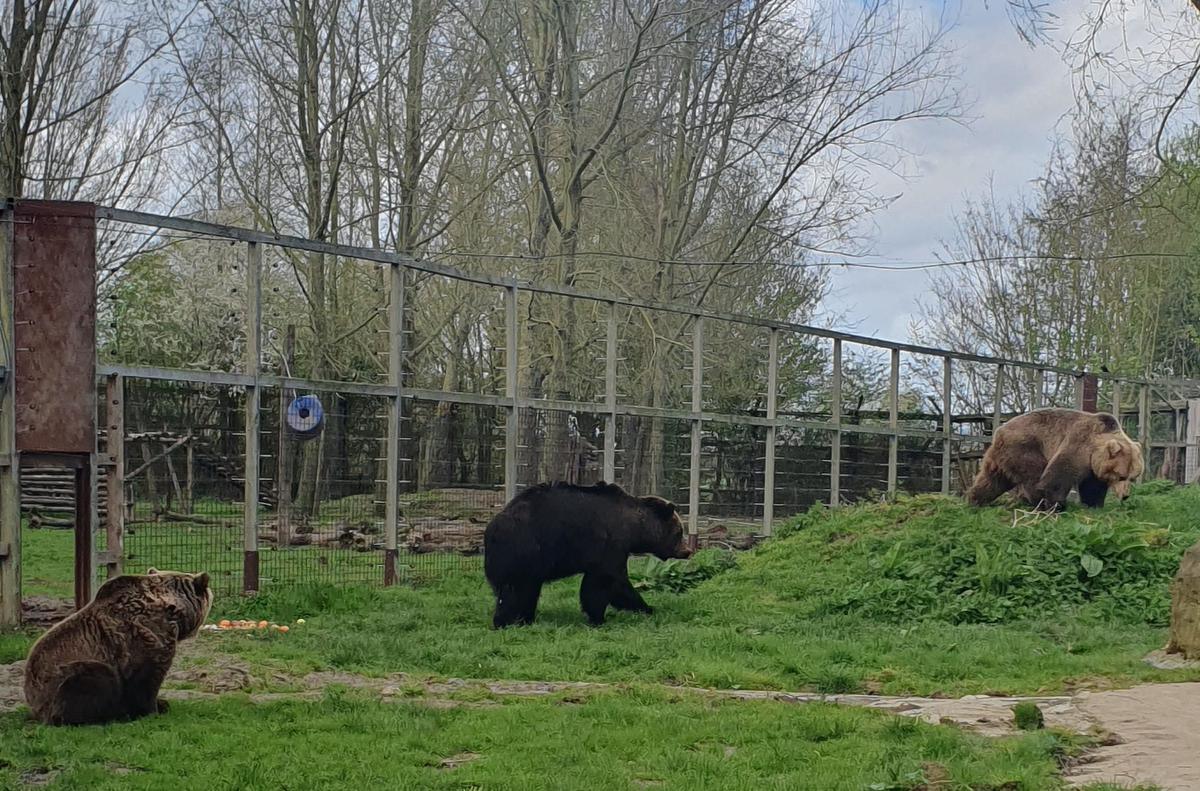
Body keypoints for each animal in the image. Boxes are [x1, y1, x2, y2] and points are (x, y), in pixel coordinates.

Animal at [25, 566, 213, 724]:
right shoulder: (147, 638)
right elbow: (147, 679)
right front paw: (152, 711)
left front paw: (160, 704)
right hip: (58, 680)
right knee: (94, 678)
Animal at [482, 480, 691, 628]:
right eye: (680, 532)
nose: (687, 550)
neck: (633, 528)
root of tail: (491, 529)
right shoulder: (610, 544)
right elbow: (609, 582)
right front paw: (640, 608)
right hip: (524, 550)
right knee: (515, 591)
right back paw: (505, 622)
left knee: (528, 591)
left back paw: (526, 618)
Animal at [964, 408, 1142, 513]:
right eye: (1121, 475)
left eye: (1133, 477)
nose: (1126, 495)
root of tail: (999, 431)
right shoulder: (1079, 444)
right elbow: (1060, 474)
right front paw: (1057, 504)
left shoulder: (1093, 467)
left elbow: (1093, 487)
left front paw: (1094, 505)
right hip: (1025, 447)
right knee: (1034, 474)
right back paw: (1038, 502)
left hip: (1001, 458)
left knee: (992, 480)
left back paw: (975, 499)